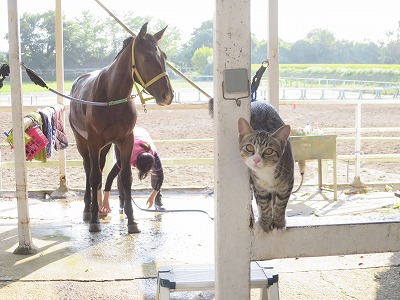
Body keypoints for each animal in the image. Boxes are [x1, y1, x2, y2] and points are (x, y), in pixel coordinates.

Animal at [68, 24, 173, 234]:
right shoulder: (93, 142)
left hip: (105, 146)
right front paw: (94, 220)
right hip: (82, 142)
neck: (111, 96)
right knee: (89, 170)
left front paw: (132, 221)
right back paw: (88, 209)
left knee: (99, 169)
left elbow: (125, 178)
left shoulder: (126, 141)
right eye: (147, 57)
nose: (168, 95)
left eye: (164, 56)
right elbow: (94, 176)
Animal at [238, 101, 294, 234]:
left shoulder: (287, 183)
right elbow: (264, 204)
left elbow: (281, 204)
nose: (256, 160)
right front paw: (264, 224)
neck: (266, 172)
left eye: (269, 151)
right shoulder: (258, 185)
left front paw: (278, 224)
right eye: (249, 147)